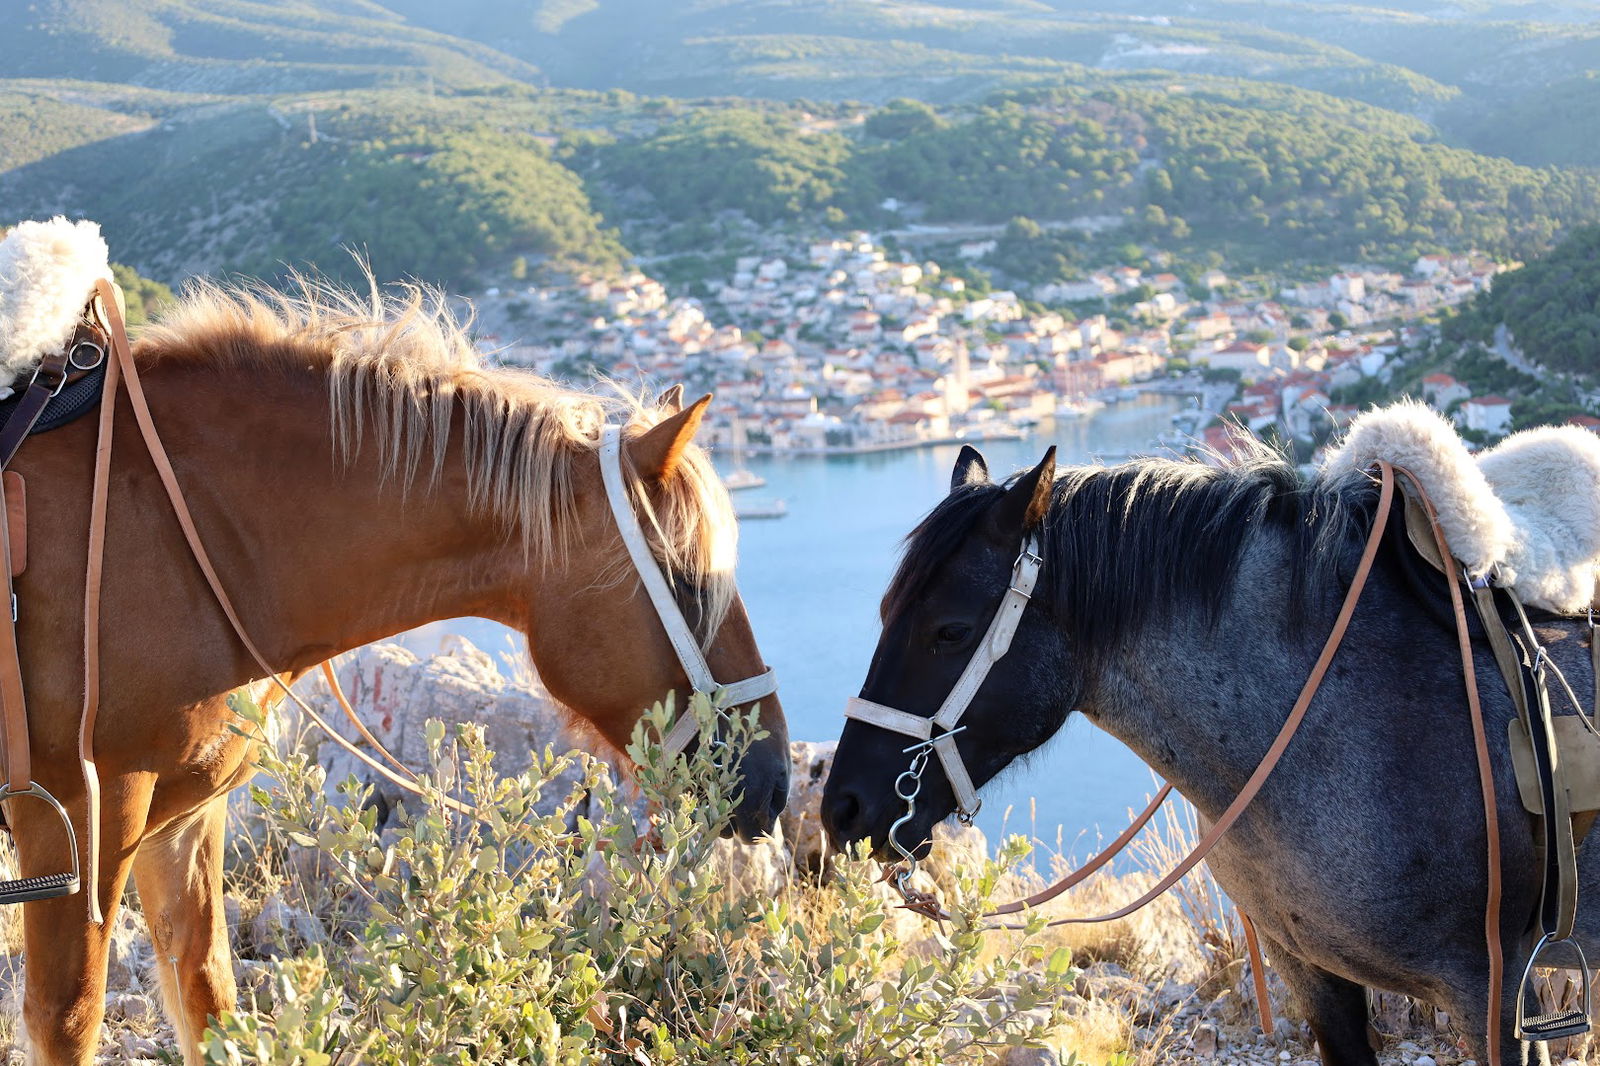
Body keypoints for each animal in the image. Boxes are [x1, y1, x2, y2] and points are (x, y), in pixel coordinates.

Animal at [6, 277, 789, 1065]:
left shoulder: (184, 816)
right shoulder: (78, 817)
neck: (176, 528)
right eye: (688, 583)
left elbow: (208, 999)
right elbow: (67, 1017)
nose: (773, 781)